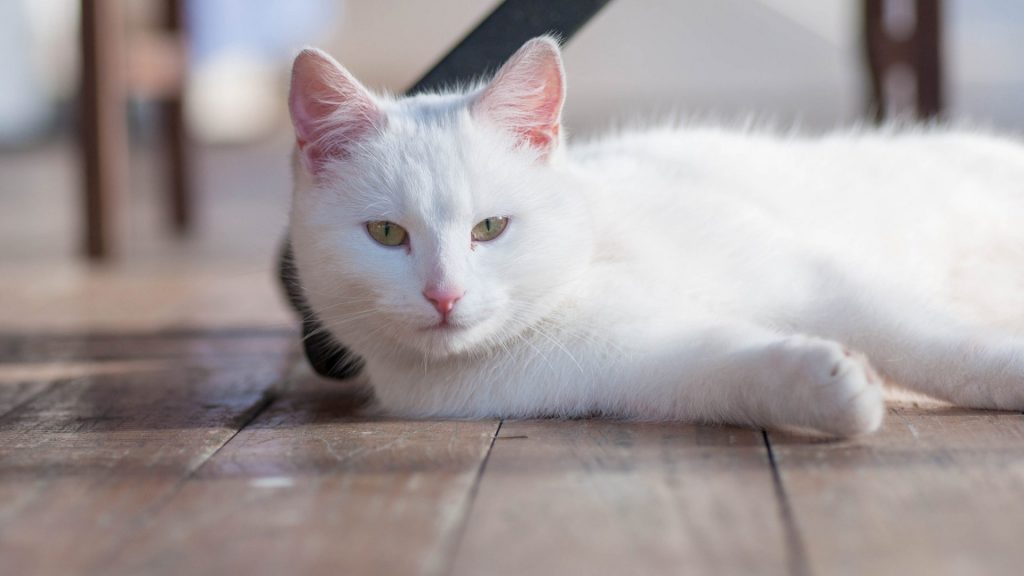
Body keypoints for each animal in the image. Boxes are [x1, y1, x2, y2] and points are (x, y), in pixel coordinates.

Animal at [282, 35, 1024, 434]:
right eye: (386, 233)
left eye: (489, 228)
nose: (443, 295)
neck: (586, 274)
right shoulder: (649, 362)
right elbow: (731, 368)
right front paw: (831, 389)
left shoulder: (816, 279)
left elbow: (926, 340)